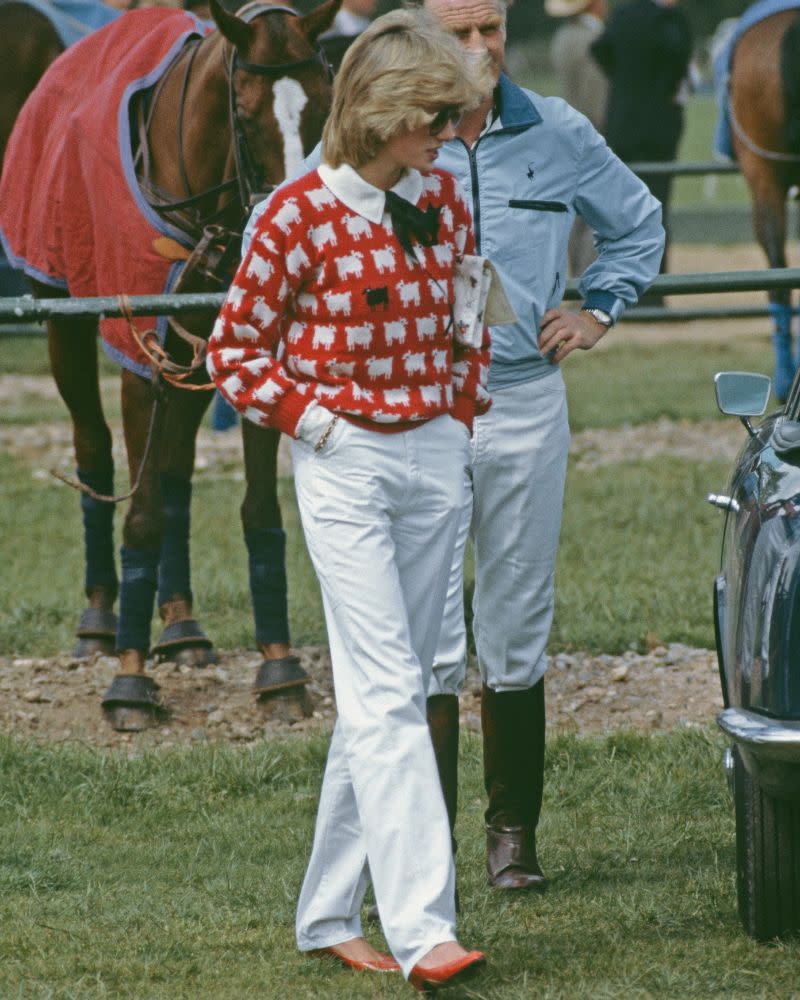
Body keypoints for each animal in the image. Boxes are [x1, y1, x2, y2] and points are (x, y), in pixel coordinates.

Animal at [0, 0, 340, 728]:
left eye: (325, 107)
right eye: (245, 114)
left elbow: (255, 508)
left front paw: (279, 667)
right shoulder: (139, 355)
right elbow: (143, 511)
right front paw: (129, 682)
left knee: (176, 465)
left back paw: (182, 626)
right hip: (65, 324)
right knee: (95, 446)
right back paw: (100, 620)